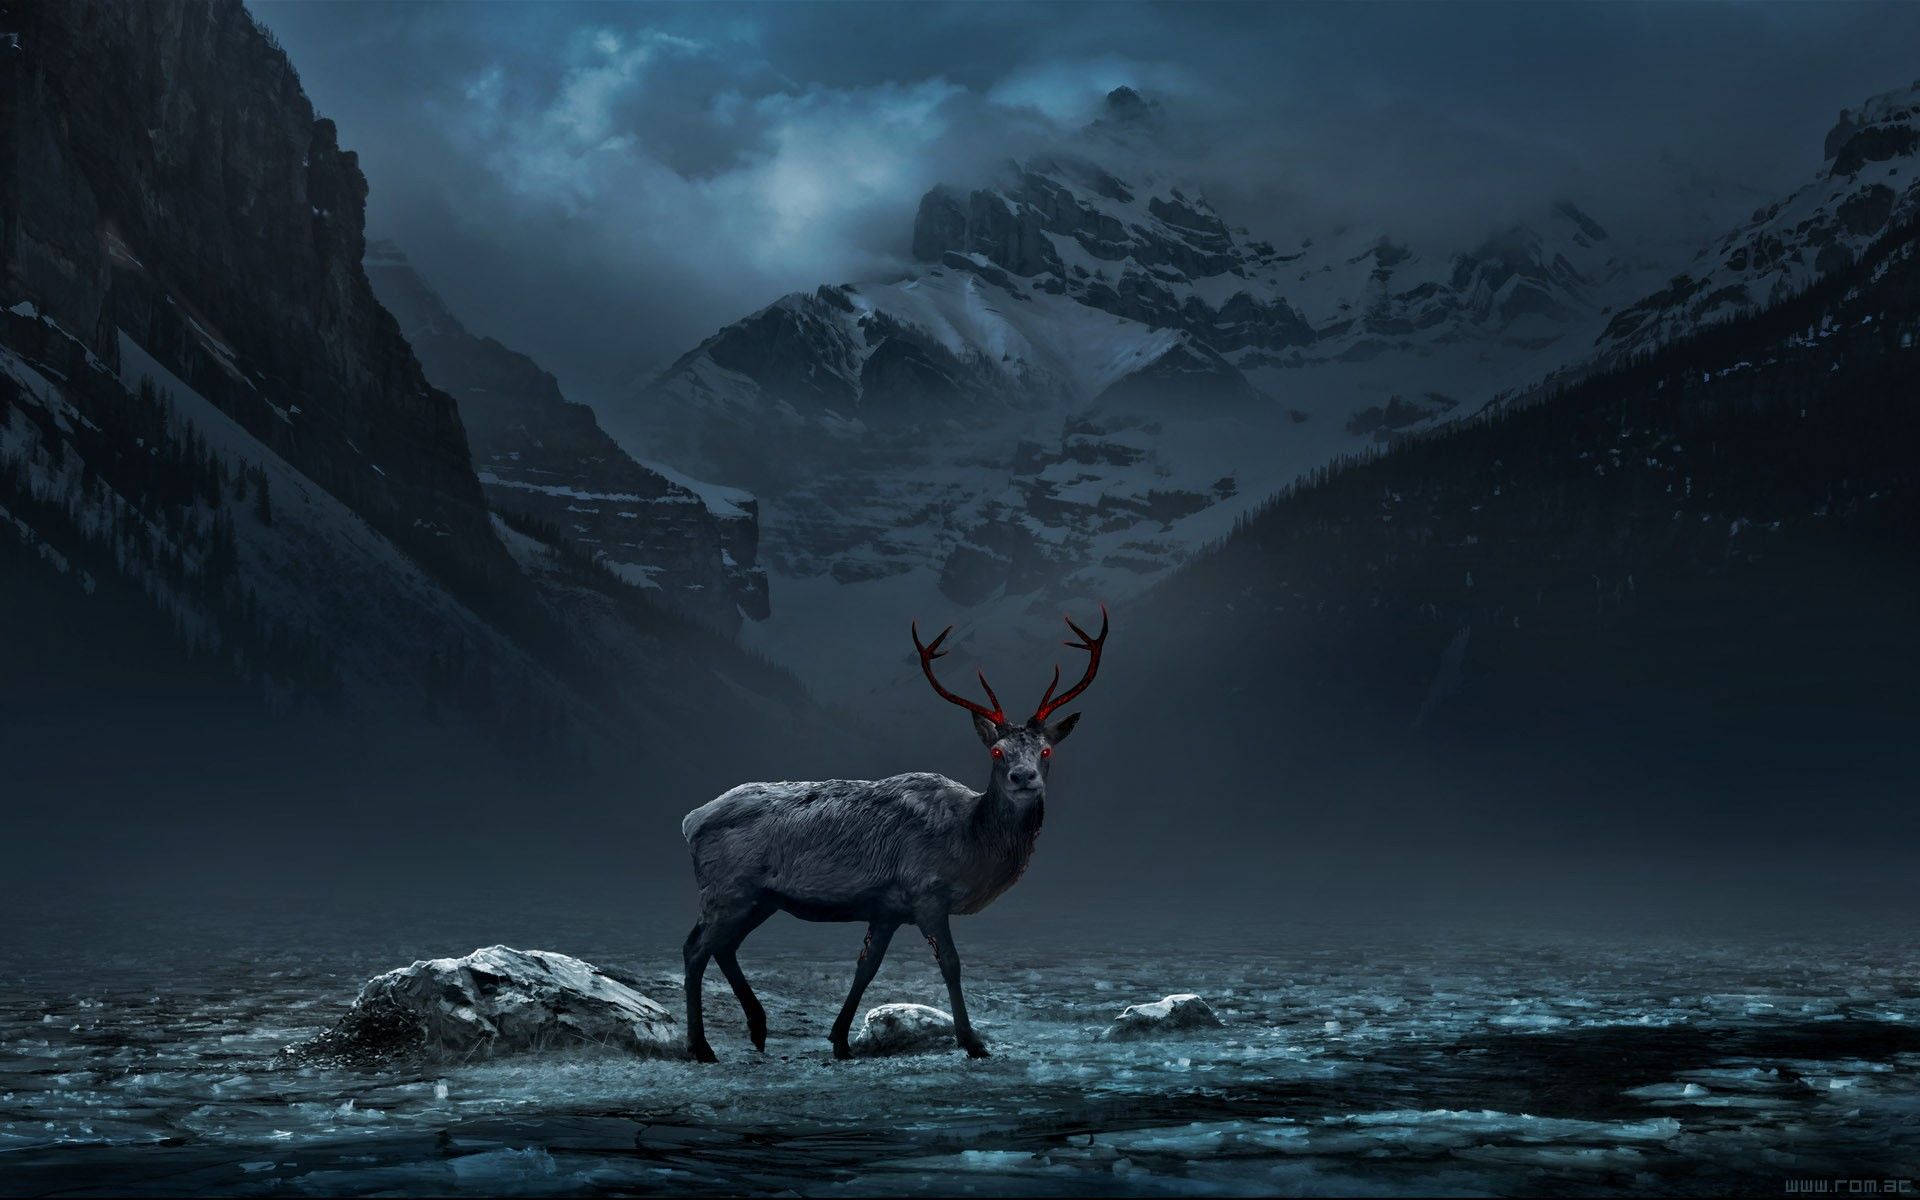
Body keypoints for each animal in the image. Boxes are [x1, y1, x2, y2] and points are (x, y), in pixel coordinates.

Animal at [678, 608, 1108, 1062]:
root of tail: (691, 821)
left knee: (724, 946)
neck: (970, 843)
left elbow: (866, 967)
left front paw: (840, 1040)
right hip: (727, 889)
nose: (1023, 776)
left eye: (1046, 750)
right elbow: (951, 964)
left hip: (760, 899)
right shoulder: (927, 893)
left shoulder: (886, 908)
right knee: (695, 948)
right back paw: (701, 1046)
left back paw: (758, 1028)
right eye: (997, 752)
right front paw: (973, 1042)